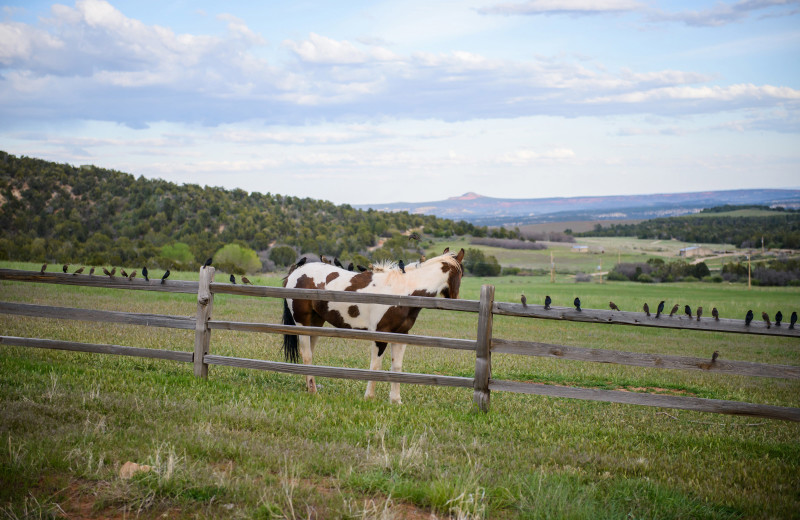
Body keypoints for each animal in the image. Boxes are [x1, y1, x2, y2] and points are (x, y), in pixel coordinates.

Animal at [282, 248, 466, 402]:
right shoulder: (380, 335)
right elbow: (375, 366)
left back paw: (309, 388)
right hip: (302, 322)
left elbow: (396, 367)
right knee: (306, 354)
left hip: (316, 323)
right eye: (461, 274)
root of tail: (296, 272)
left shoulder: (401, 335)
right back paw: (313, 391)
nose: (455, 298)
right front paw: (369, 397)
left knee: (310, 354)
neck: (404, 292)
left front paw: (395, 400)